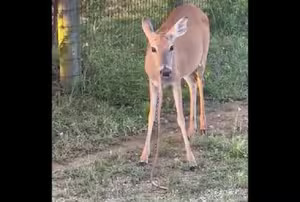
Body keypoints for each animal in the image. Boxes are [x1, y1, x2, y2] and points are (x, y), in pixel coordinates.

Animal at [139, 3, 210, 189]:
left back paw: (203, 126)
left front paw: (192, 160)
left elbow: (179, 118)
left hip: (202, 58)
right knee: (192, 84)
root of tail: (195, 7)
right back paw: (192, 130)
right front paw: (143, 157)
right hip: (186, 70)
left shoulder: (175, 81)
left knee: (200, 82)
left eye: (171, 47)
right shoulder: (153, 83)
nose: (165, 71)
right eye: (153, 48)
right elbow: (151, 117)